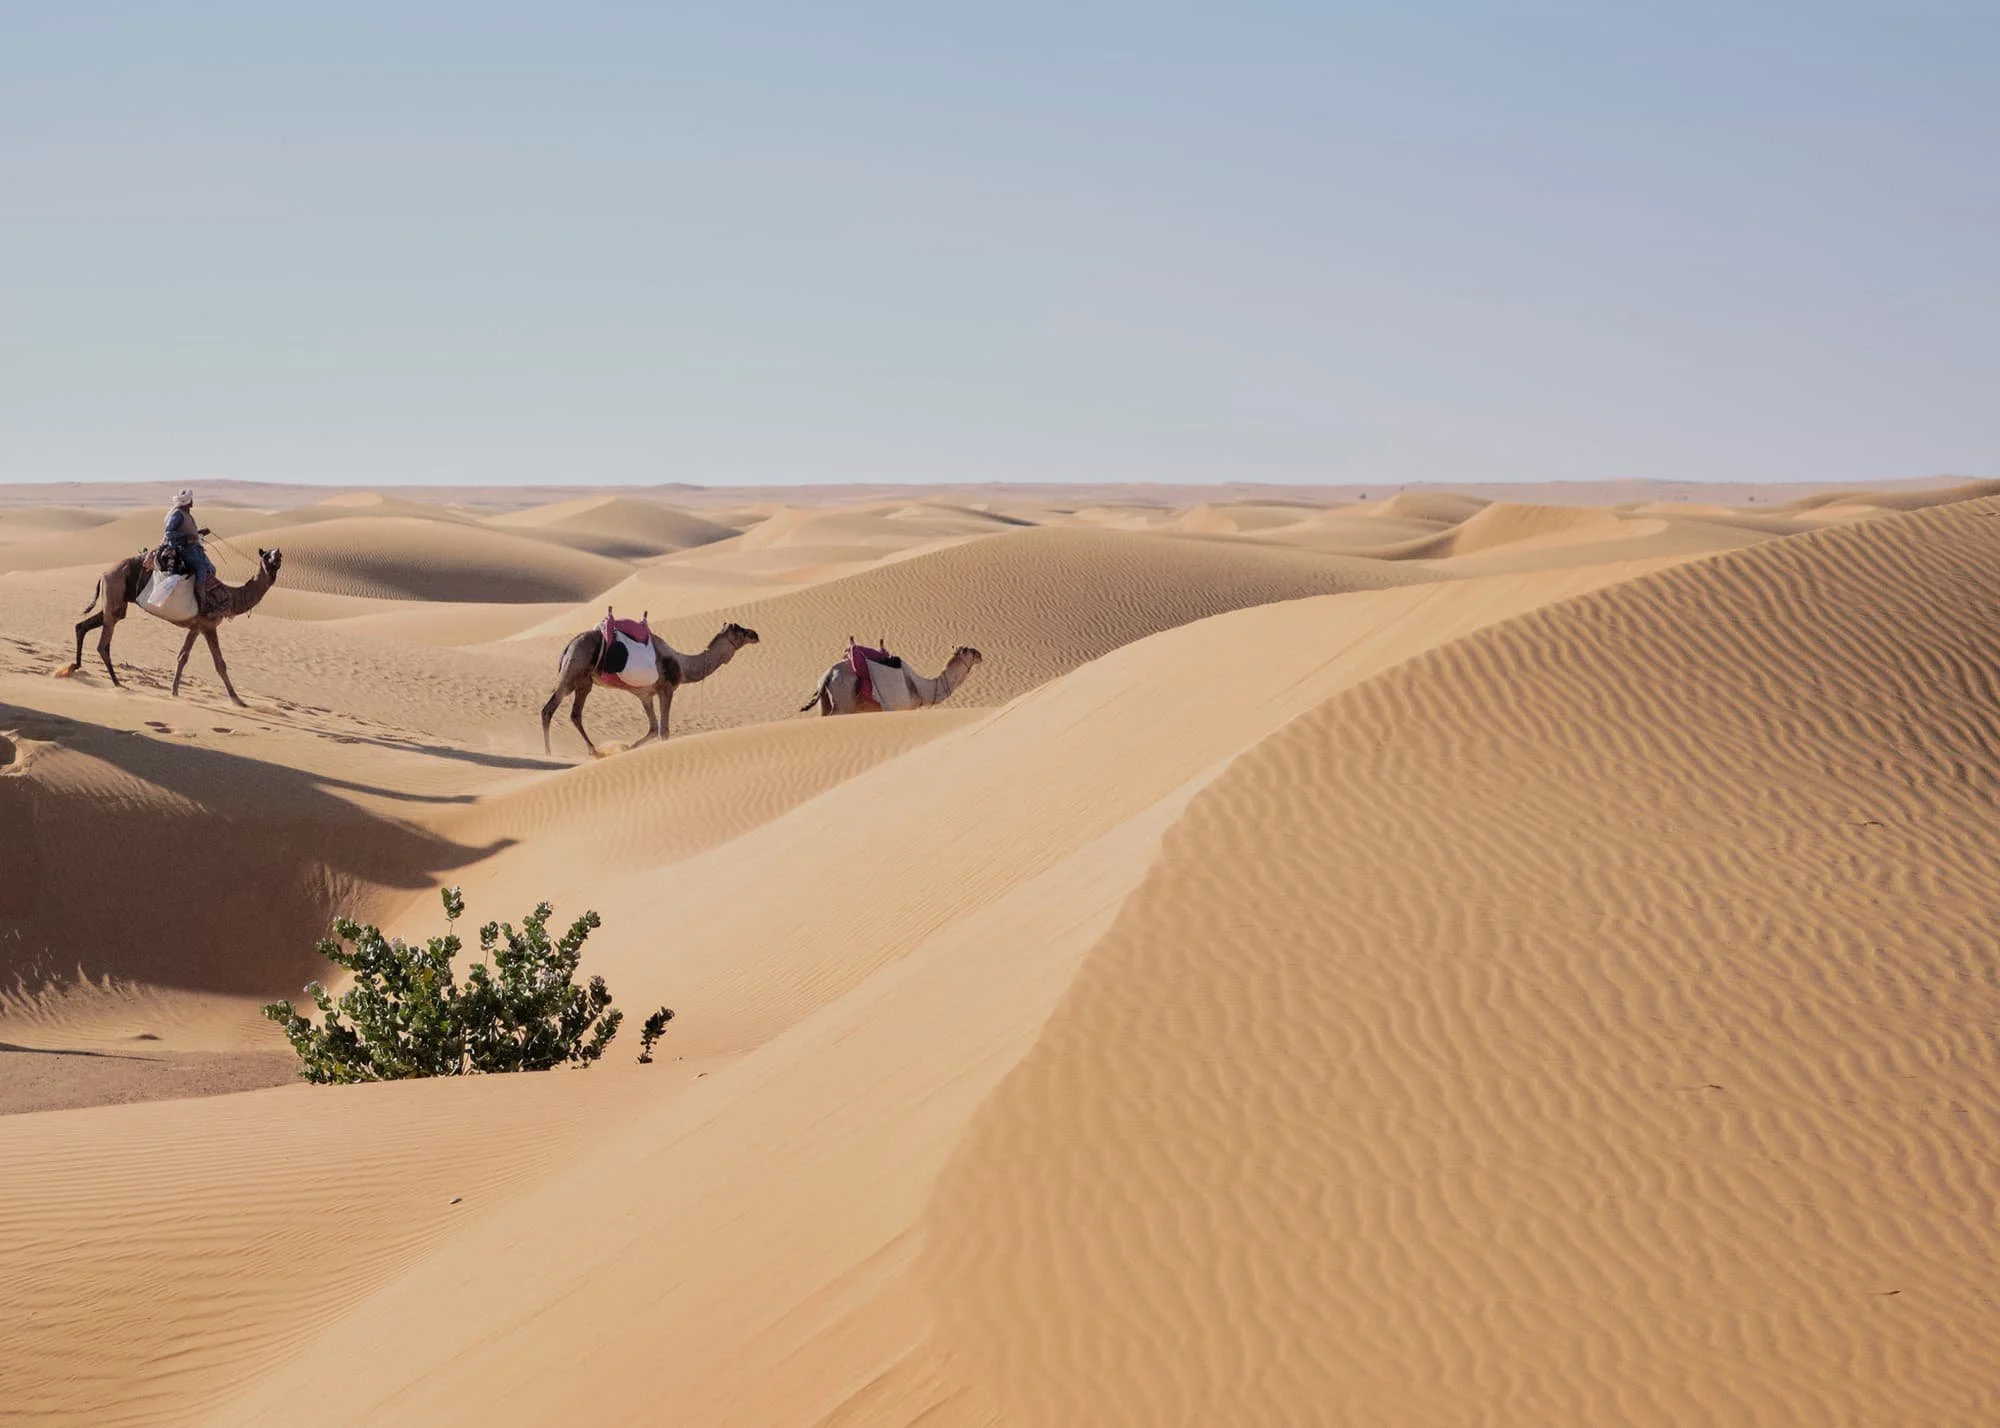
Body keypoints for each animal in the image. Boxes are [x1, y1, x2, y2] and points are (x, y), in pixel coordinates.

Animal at [57, 547, 285, 707]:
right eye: (266, 555)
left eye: (275, 553)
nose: (278, 554)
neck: (231, 596)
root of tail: (104, 573)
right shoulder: (207, 624)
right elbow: (217, 663)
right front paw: (238, 700)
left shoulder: (196, 626)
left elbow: (184, 657)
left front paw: (174, 691)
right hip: (114, 593)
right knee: (103, 644)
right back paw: (117, 682)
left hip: (116, 603)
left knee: (82, 626)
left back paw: (74, 667)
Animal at [540, 619, 760, 757]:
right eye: (739, 629)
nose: (755, 633)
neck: (683, 666)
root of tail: (569, 644)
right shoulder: (667, 689)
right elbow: (664, 731)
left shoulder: (645, 695)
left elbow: (653, 729)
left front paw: (626, 749)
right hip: (571, 673)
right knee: (548, 709)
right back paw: (549, 753)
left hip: (584, 682)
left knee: (575, 714)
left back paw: (593, 750)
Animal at [800, 644, 983, 716]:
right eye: (968, 650)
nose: (980, 654)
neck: (920, 688)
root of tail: (827, 676)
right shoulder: (904, 707)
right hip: (844, 700)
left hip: (824, 700)